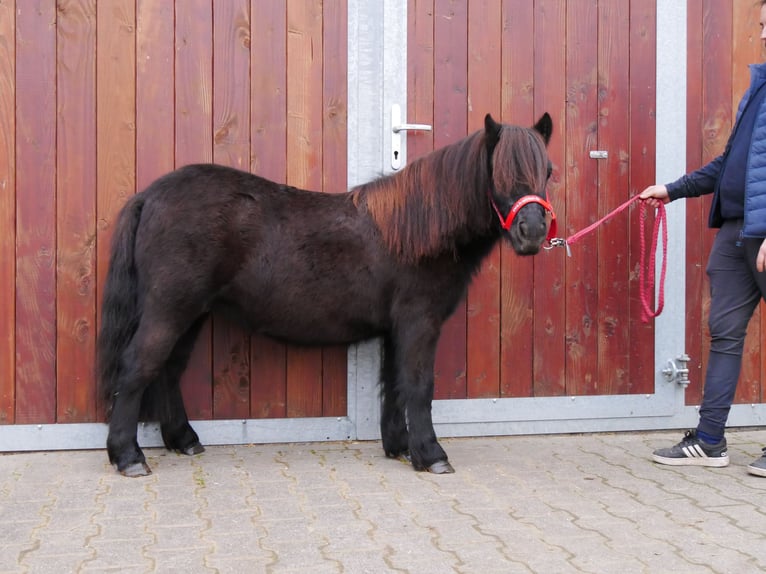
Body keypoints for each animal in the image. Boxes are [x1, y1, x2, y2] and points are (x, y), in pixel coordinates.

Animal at [99, 112, 556, 476]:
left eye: (547, 171)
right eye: (499, 172)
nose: (532, 233)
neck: (414, 231)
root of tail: (150, 196)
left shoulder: (396, 328)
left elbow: (394, 384)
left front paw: (400, 447)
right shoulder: (418, 323)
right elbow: (418, 385)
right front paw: (431, 454)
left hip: (191, 314)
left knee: (168, 370)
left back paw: (183, 439)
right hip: (169, 310)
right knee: (138, 367)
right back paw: (128, 457)